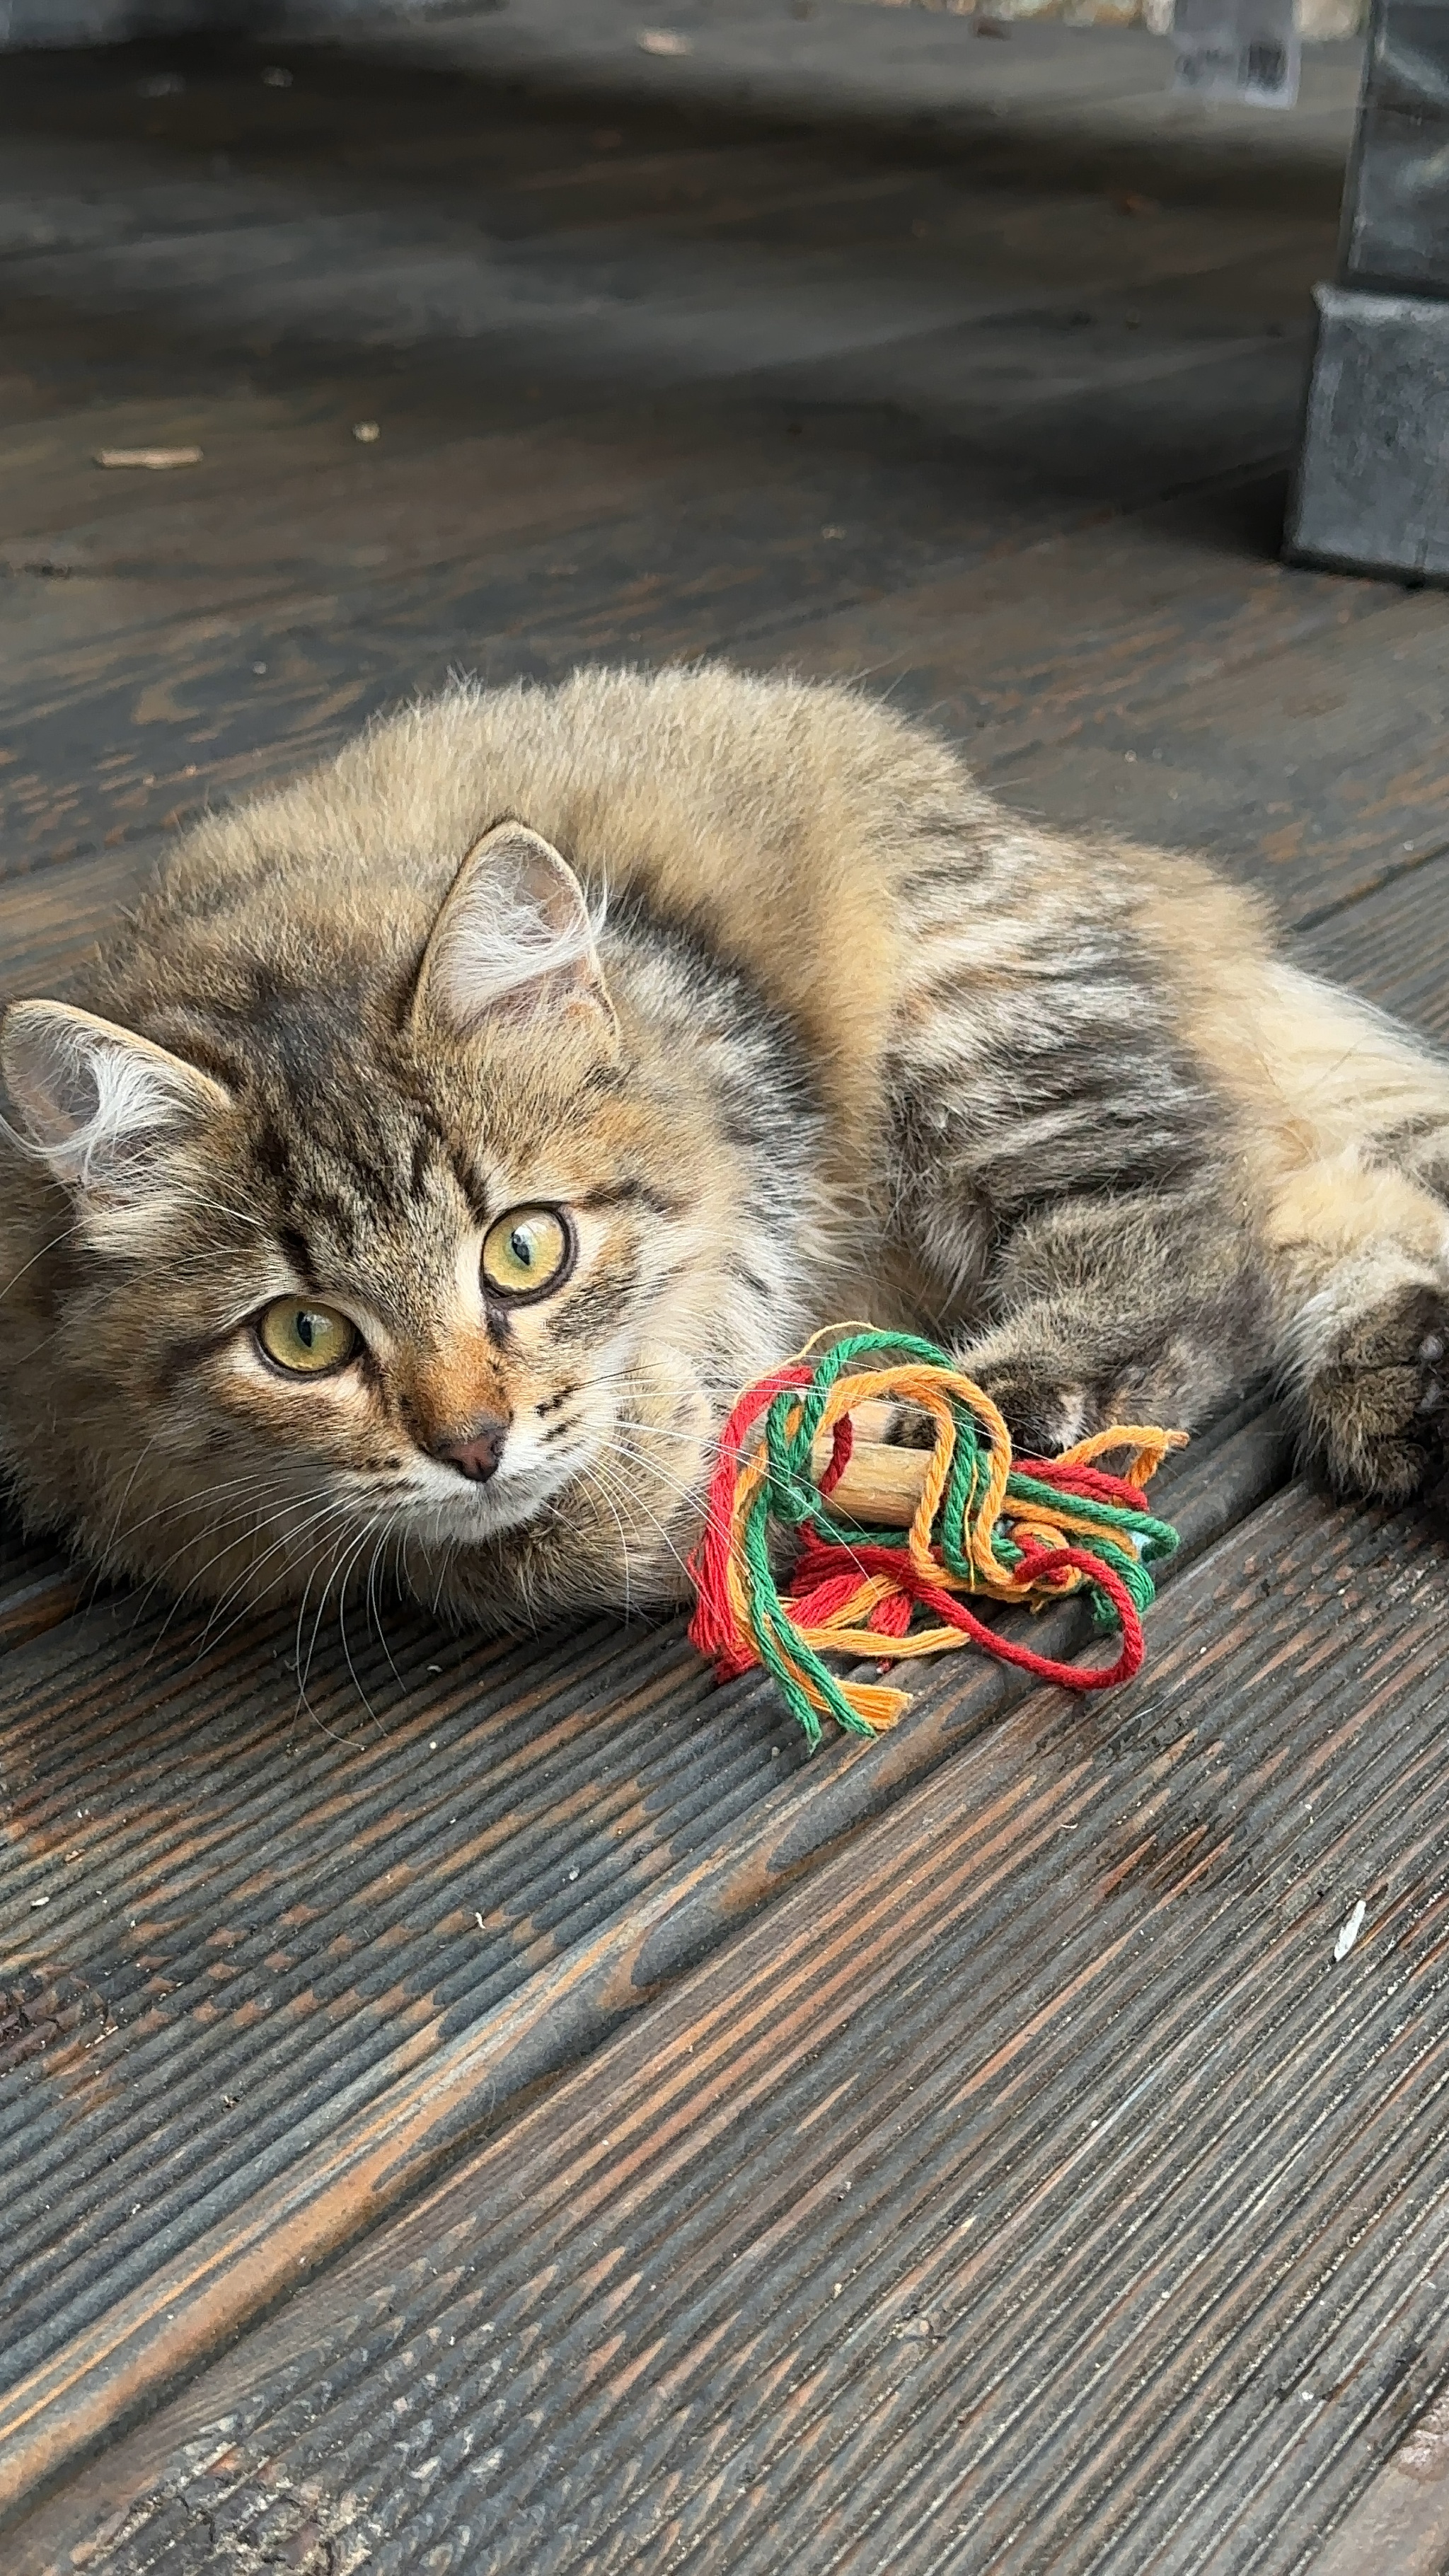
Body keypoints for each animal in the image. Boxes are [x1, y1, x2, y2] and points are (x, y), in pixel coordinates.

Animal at [0, 669, 1433, 1628]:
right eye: (302, 1338)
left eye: (524, 1251)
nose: (474, 1444)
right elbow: (490, 1551)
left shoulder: (766, 1129)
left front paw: (686, 1436)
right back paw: (1405, 1377)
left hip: (981, 1029)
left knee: (1196, 1246)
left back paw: (1007, 1404)